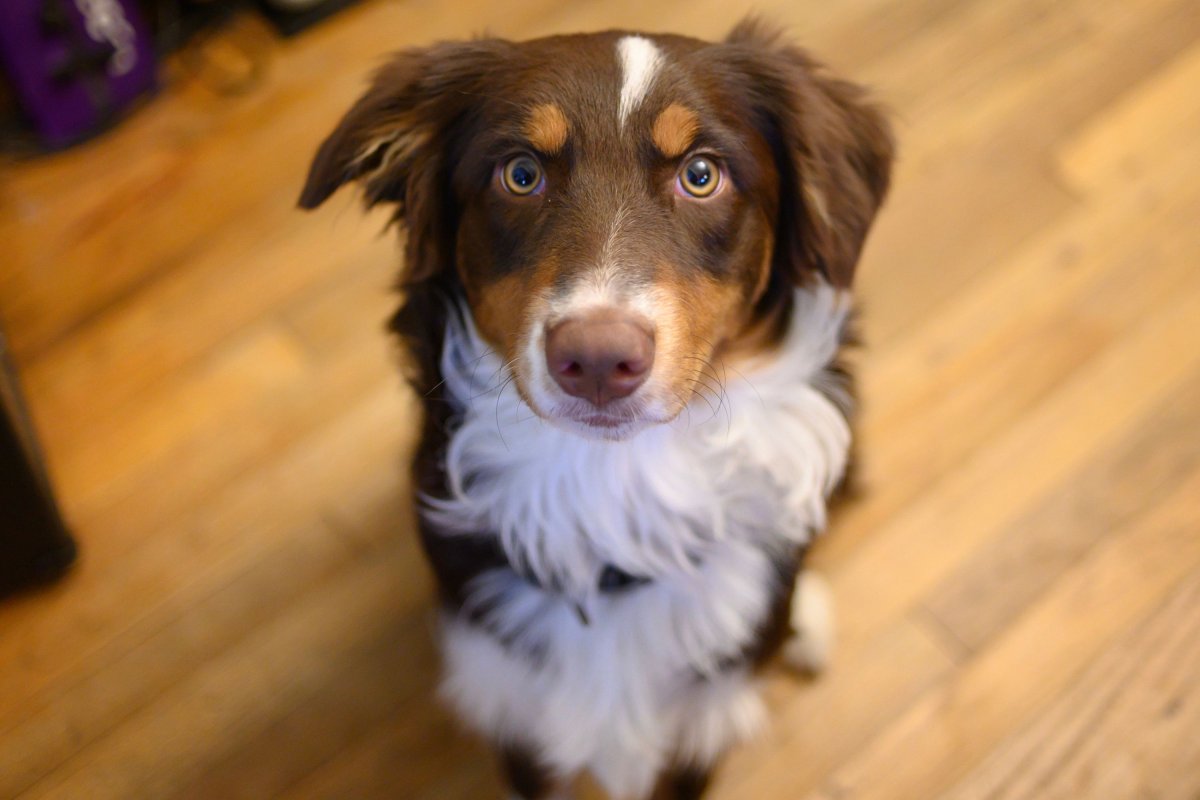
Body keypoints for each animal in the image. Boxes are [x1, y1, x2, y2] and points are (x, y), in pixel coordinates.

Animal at [300, 18, 897, 800]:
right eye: (520, 173)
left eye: (701, 174)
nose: (597, 359)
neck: (614, 488)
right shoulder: (515, 709)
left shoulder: (698, 721)